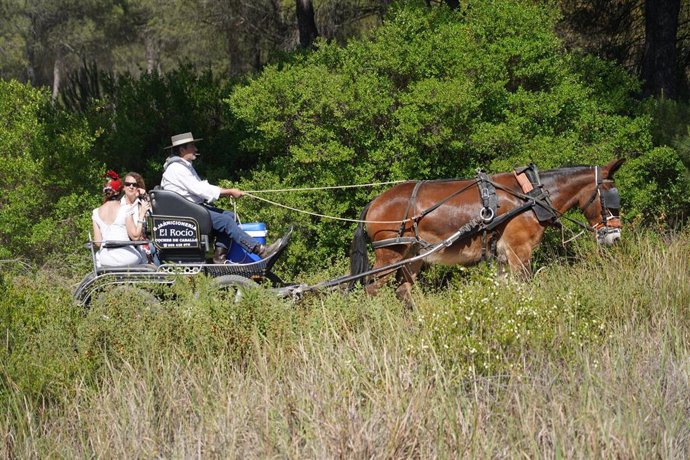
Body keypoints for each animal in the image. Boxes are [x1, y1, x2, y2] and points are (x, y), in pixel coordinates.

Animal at [350, 160, 624, 300]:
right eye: (611, 197)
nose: (615, 236)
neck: (532, 197)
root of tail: (374, 202)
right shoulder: (519, 252)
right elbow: (525, 289)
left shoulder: (502, 257)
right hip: (390, 255)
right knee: (371, 288)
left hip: (412, 256)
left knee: (403, 291)